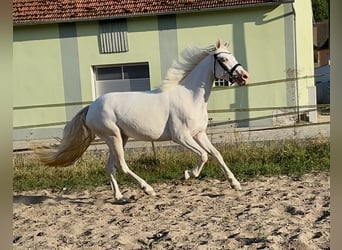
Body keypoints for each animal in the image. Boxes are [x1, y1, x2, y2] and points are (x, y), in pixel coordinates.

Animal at [38, 39, 248, 203]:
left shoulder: (199, 134)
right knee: (121, 166)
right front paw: (188, 174)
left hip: (119, 138)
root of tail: (91, 107)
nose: (245, 76)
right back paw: (148, 189)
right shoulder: (181, 137)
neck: (190, 96)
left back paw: (119, 197)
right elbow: (204, 155)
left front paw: (235, 184)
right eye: (223, 59)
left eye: (232, 56)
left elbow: (216, 154)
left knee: (110, 167)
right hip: (113, 137)